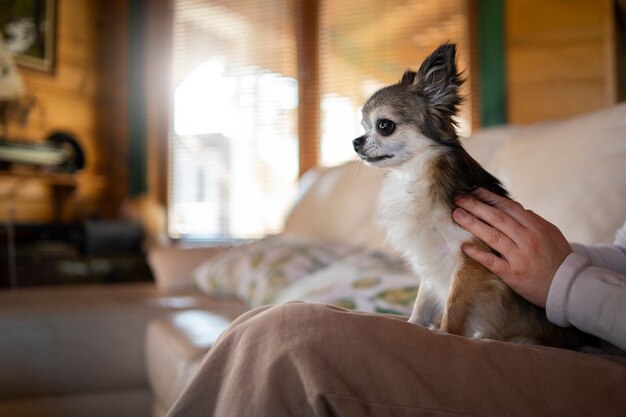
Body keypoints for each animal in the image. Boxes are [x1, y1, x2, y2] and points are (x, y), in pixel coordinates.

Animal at [354, 42, 592, 348]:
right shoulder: (432, 263)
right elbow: (423, 303)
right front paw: (414, 326)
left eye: (384, 126)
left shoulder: (469, 260)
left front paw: (444, 334)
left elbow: (454, 308)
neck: (412, 177)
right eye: (363, 127)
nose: (355, 142)